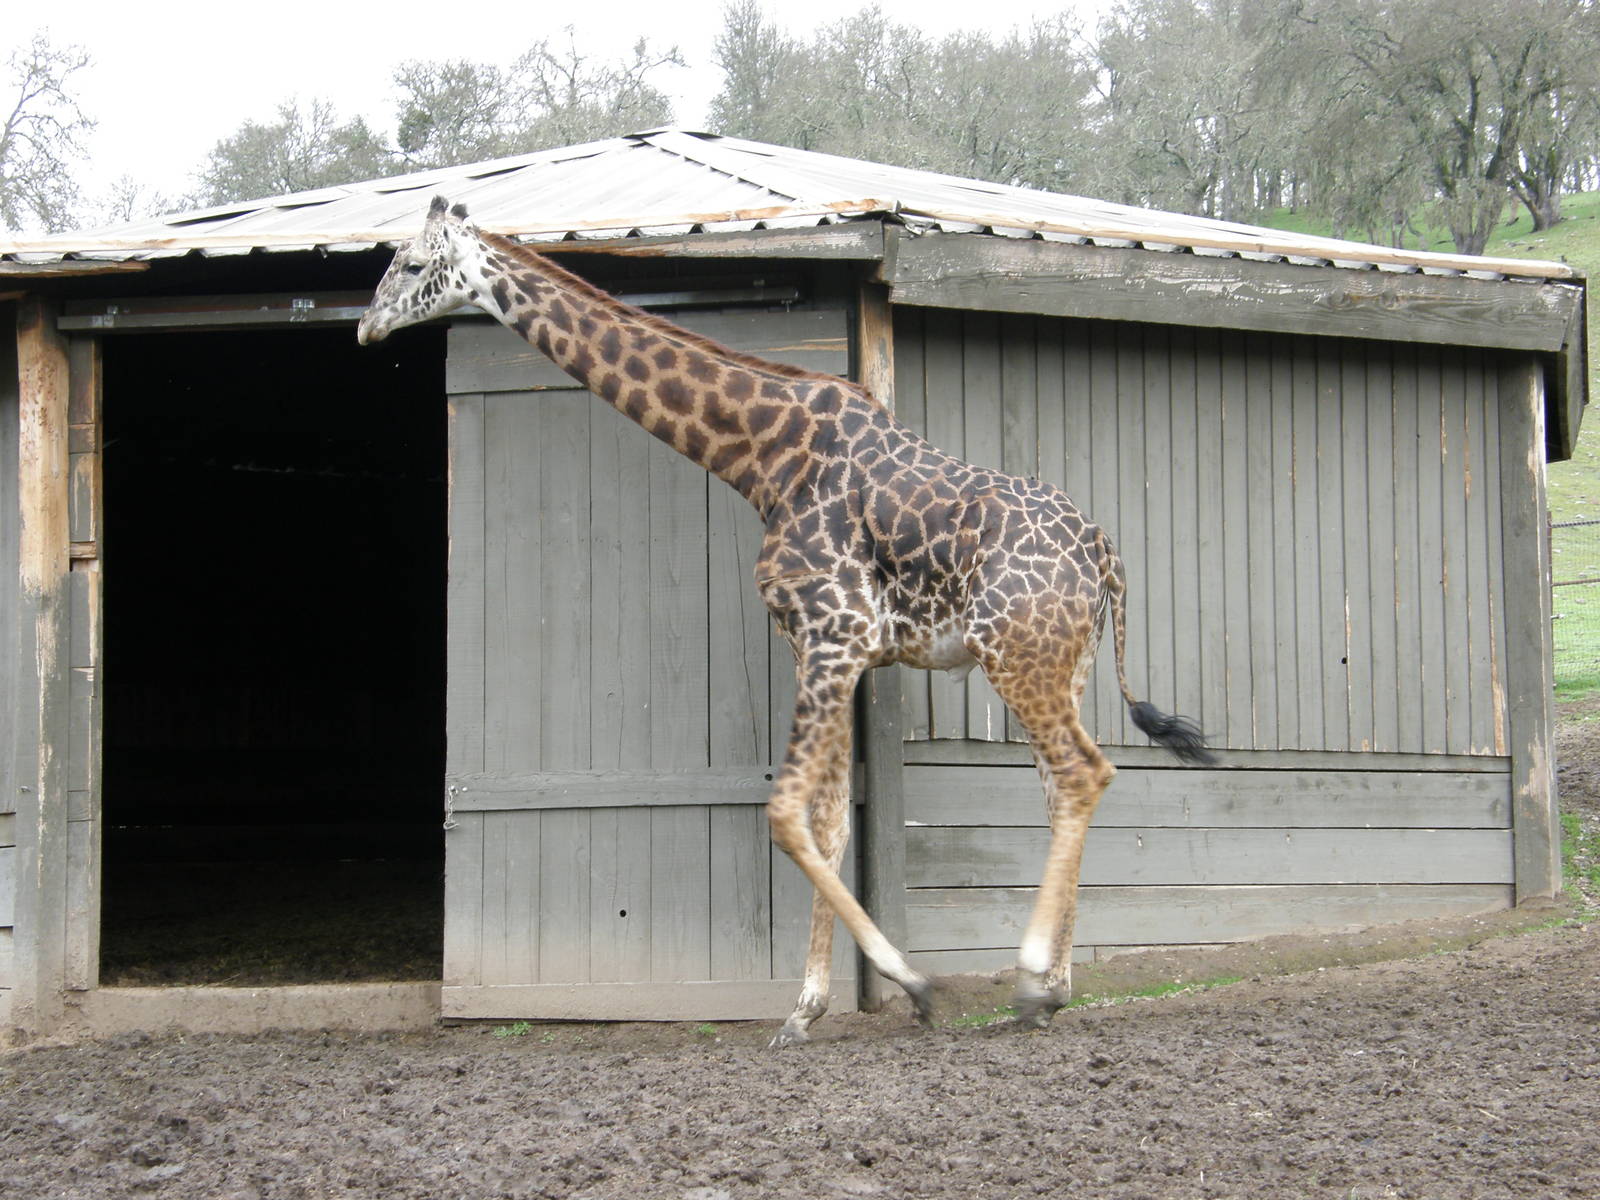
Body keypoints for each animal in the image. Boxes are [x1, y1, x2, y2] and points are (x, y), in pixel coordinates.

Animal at [358, 197, 1213, 1046]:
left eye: (409, 263)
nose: (366, 327)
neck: (761, 456)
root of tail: (1103, 552)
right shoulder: (826, 645)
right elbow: (829, 823)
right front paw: (807, 1008)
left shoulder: (834, 633)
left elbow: (784, 816)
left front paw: (904, 985)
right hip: (1062, 662)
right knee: (1064, 784)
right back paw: (1058, 984)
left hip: (1014, 653)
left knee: (1083, 771)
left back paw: (1033, 981)